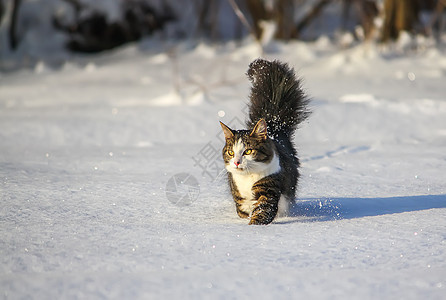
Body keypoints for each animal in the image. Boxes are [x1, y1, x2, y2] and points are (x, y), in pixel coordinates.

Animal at [220, 57, 310, 224]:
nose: (236, 162)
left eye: (248, 151)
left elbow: (262, 211)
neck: (247, 178)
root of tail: (273, 126)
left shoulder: (269, 187)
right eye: (231, 152)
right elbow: (243, 211)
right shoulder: (238, 194)